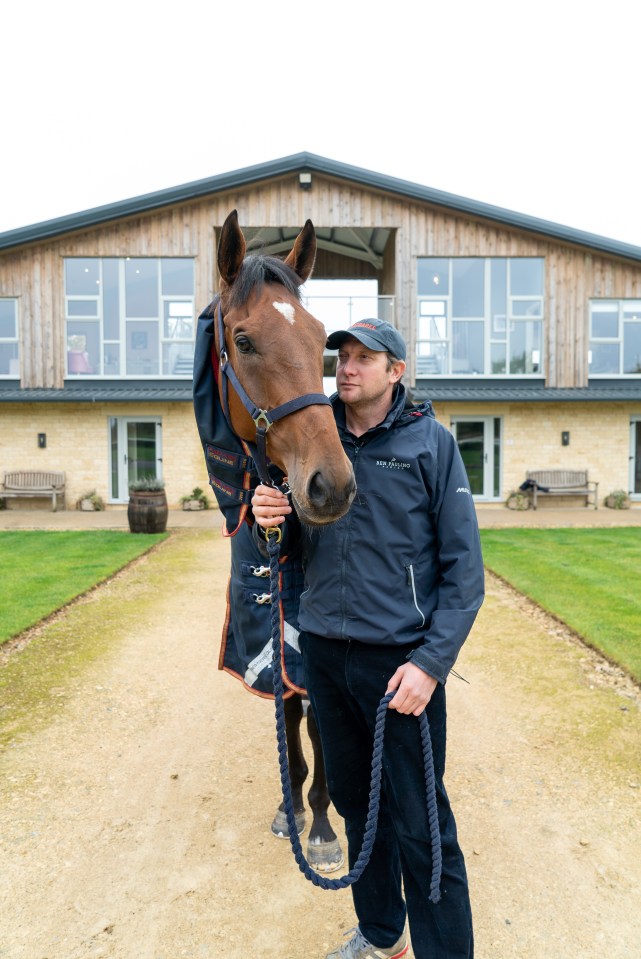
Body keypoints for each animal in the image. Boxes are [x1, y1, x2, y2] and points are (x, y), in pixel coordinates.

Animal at [192, 208, 358, 872]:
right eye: (243, 340)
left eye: (320, 339)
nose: (331, 485)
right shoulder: (274, 635)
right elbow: (287, 718)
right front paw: (291, 809)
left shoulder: (312, 645)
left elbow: (319, 723)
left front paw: (323, 822)